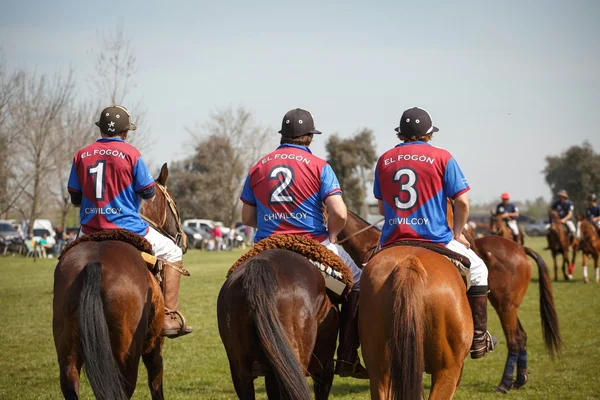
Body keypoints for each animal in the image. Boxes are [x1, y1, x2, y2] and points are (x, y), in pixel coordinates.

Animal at [51, 163, 185, 400]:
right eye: (175, 204)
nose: (184, 239)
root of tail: (93, 263)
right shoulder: (155, 344)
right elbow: (156, 382)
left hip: (67, 351)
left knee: (70, 381)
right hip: (126, 355)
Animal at [340, 209, 564, 394]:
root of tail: (520, 248)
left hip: (505, 305)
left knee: (514, 339)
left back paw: (505, 383)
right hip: (507, 305)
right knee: (521, 336)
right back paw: (519, 379)